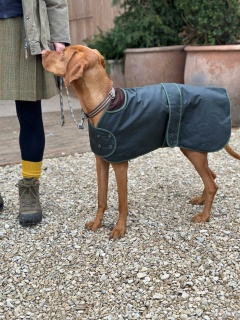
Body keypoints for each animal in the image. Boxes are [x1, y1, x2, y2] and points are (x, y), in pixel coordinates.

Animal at [41, 46, 240, 239]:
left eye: (62, 52)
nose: (42, 52)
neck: (103, 103)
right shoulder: (101, 161)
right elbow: (101, 198)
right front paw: (97, 223)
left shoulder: (120, 165)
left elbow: (122, 203)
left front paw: (119, 229)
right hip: (192, 147)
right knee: (211, 176)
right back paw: (201, 200)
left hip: (194, 151)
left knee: (212, 184)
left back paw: (205, 216)